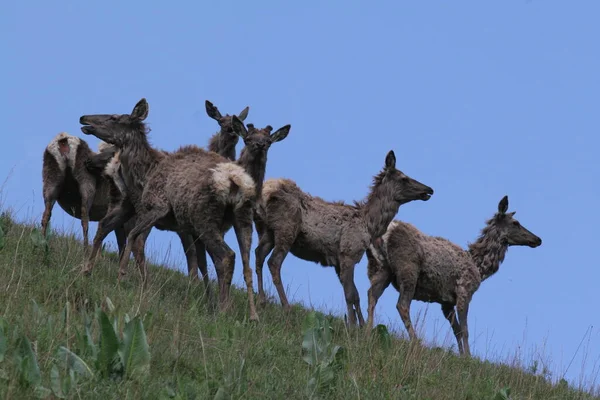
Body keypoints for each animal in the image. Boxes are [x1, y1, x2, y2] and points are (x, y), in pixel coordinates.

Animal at [78, 97, 290, 322]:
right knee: (245, 263)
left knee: (227, 256)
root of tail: (234, 180)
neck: (143, 173)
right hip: (241, 220)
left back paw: (224, 309)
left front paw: (122, 276)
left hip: (204, 219)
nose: (84, 118)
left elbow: (135, 237)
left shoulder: (156, 207)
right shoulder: (141, 209)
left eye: (114, 117)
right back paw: (251, 315)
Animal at [255, 152, 434, 326]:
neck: (369, 225)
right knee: (274, 262)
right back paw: (286, 307)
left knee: (258, 254)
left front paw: (360, 325)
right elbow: (350, 294)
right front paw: (353, 326)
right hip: (286, 229)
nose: (429, 189)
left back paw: (261, 299)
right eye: (404, 178)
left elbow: (354, 294)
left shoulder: (338, 262)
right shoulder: (349, 253)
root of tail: (266, 191)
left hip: (267, 231)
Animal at [366, 197, 544, 356]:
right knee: (402, 305)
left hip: (382, 268)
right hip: (408, 269)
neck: (479, 268)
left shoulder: (446, 303)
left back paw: (367, 330)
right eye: (515, 223)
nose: (538, 239)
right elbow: (465, 330)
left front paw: (461, 354)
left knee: (371, 295)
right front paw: (469, 357)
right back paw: (416, 342)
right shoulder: (465, 291)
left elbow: (456, 330)